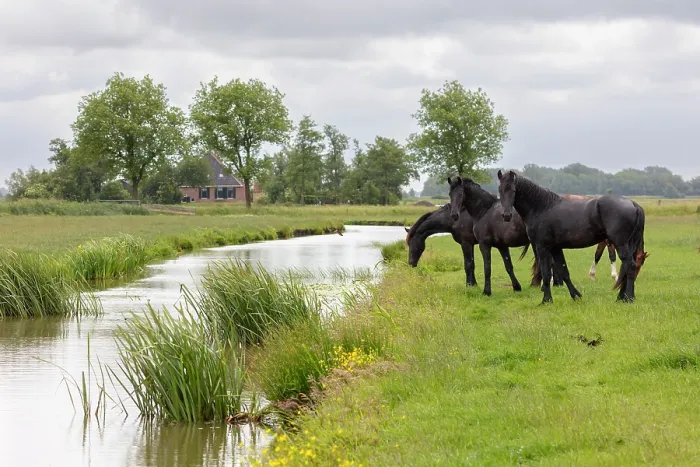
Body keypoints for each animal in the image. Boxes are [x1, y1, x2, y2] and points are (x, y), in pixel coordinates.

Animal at [497, 169, 648, 303]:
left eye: (513, 190)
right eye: (500, 190)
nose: (506, 215)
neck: (542, 207)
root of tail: (634, 204)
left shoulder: (542, 248)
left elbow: (546, 273)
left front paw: (546, 300)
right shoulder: (555, 248)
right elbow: (564, 272)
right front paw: (576, 296)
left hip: (620, 244)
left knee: (629, 266)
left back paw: (628, 298)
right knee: (627, 267)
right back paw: (621, 297)